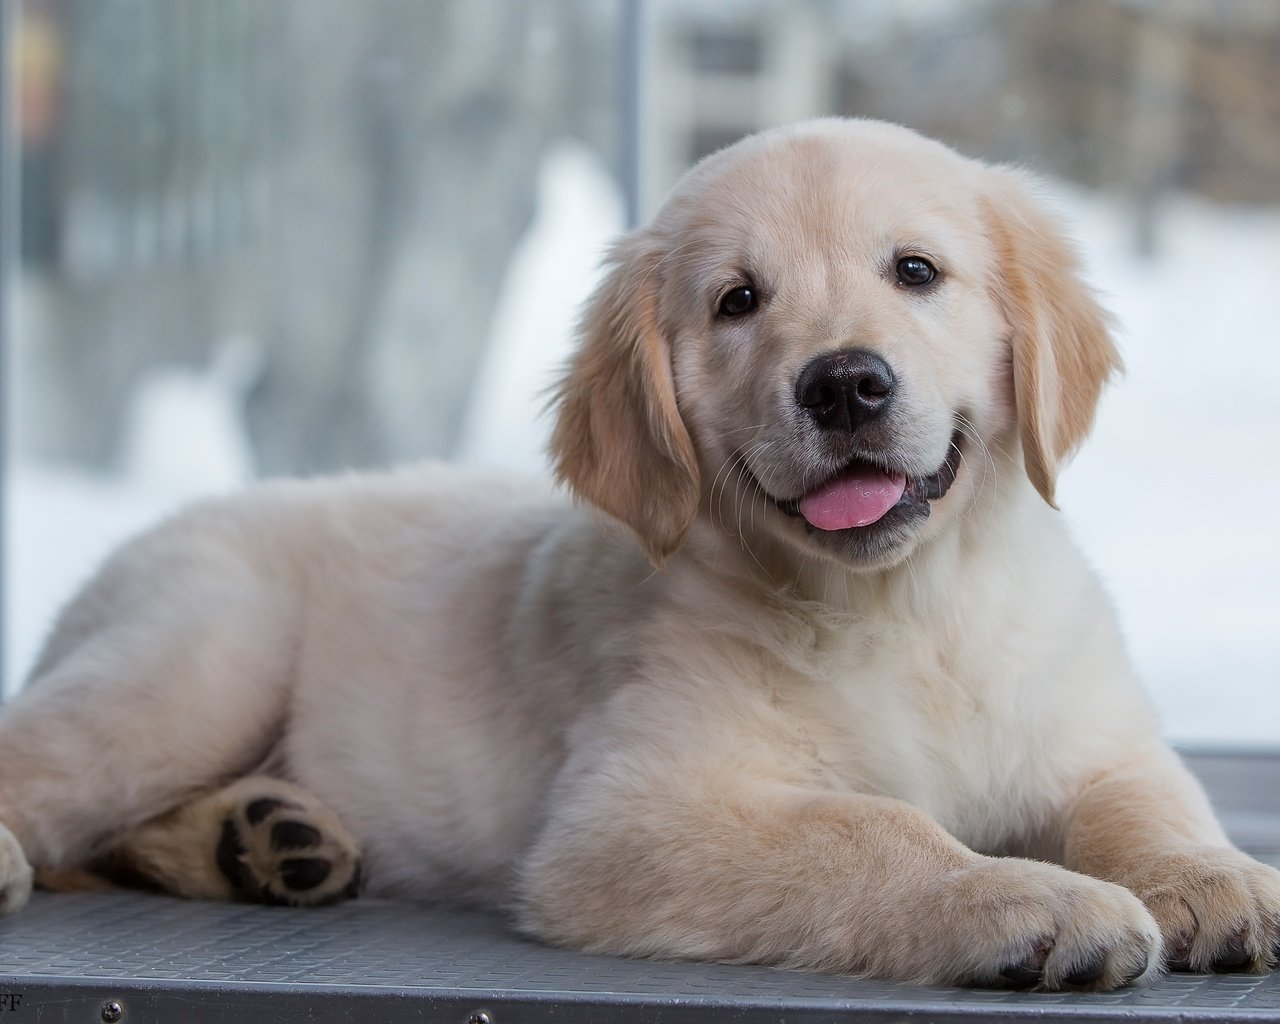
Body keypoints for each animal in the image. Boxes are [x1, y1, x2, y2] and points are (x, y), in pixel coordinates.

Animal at [2, 120, 1280, 993]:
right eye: (736, 301)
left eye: (915, 271)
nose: (844, 384)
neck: (901, 605)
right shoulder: (628, 817)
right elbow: (871, 830)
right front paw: (1026, 898)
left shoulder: (1090, 731)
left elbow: (1148, 798)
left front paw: (1212, 878)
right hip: (198, 660)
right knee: (59, 774)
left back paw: (268, 839)